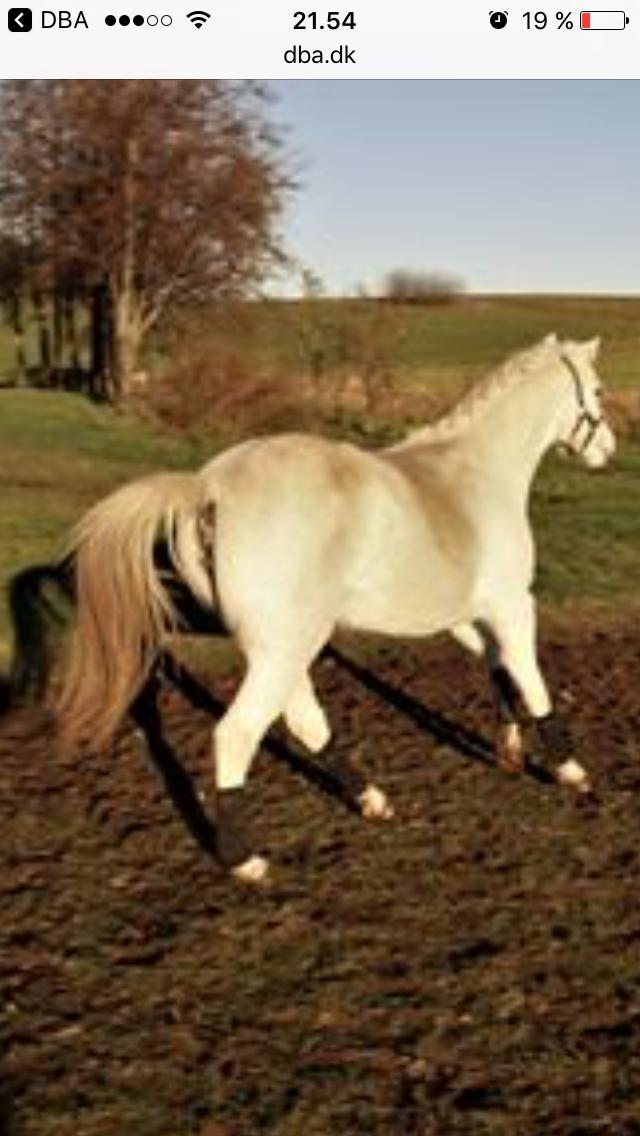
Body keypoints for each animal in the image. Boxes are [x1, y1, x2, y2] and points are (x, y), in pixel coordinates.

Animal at [8, 333, 615, 883]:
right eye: (598, 390)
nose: (607, 449)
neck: (471, 473)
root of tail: (208, 487)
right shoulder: (512, 604)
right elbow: (531, 679)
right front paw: (571, 770)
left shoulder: (467, 615)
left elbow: (499, 671)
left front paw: (509, 752)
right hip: (283, 651)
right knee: (238, 734)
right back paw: (245, 859)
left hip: (289, 646)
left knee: (304, 722)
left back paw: (371, 800)